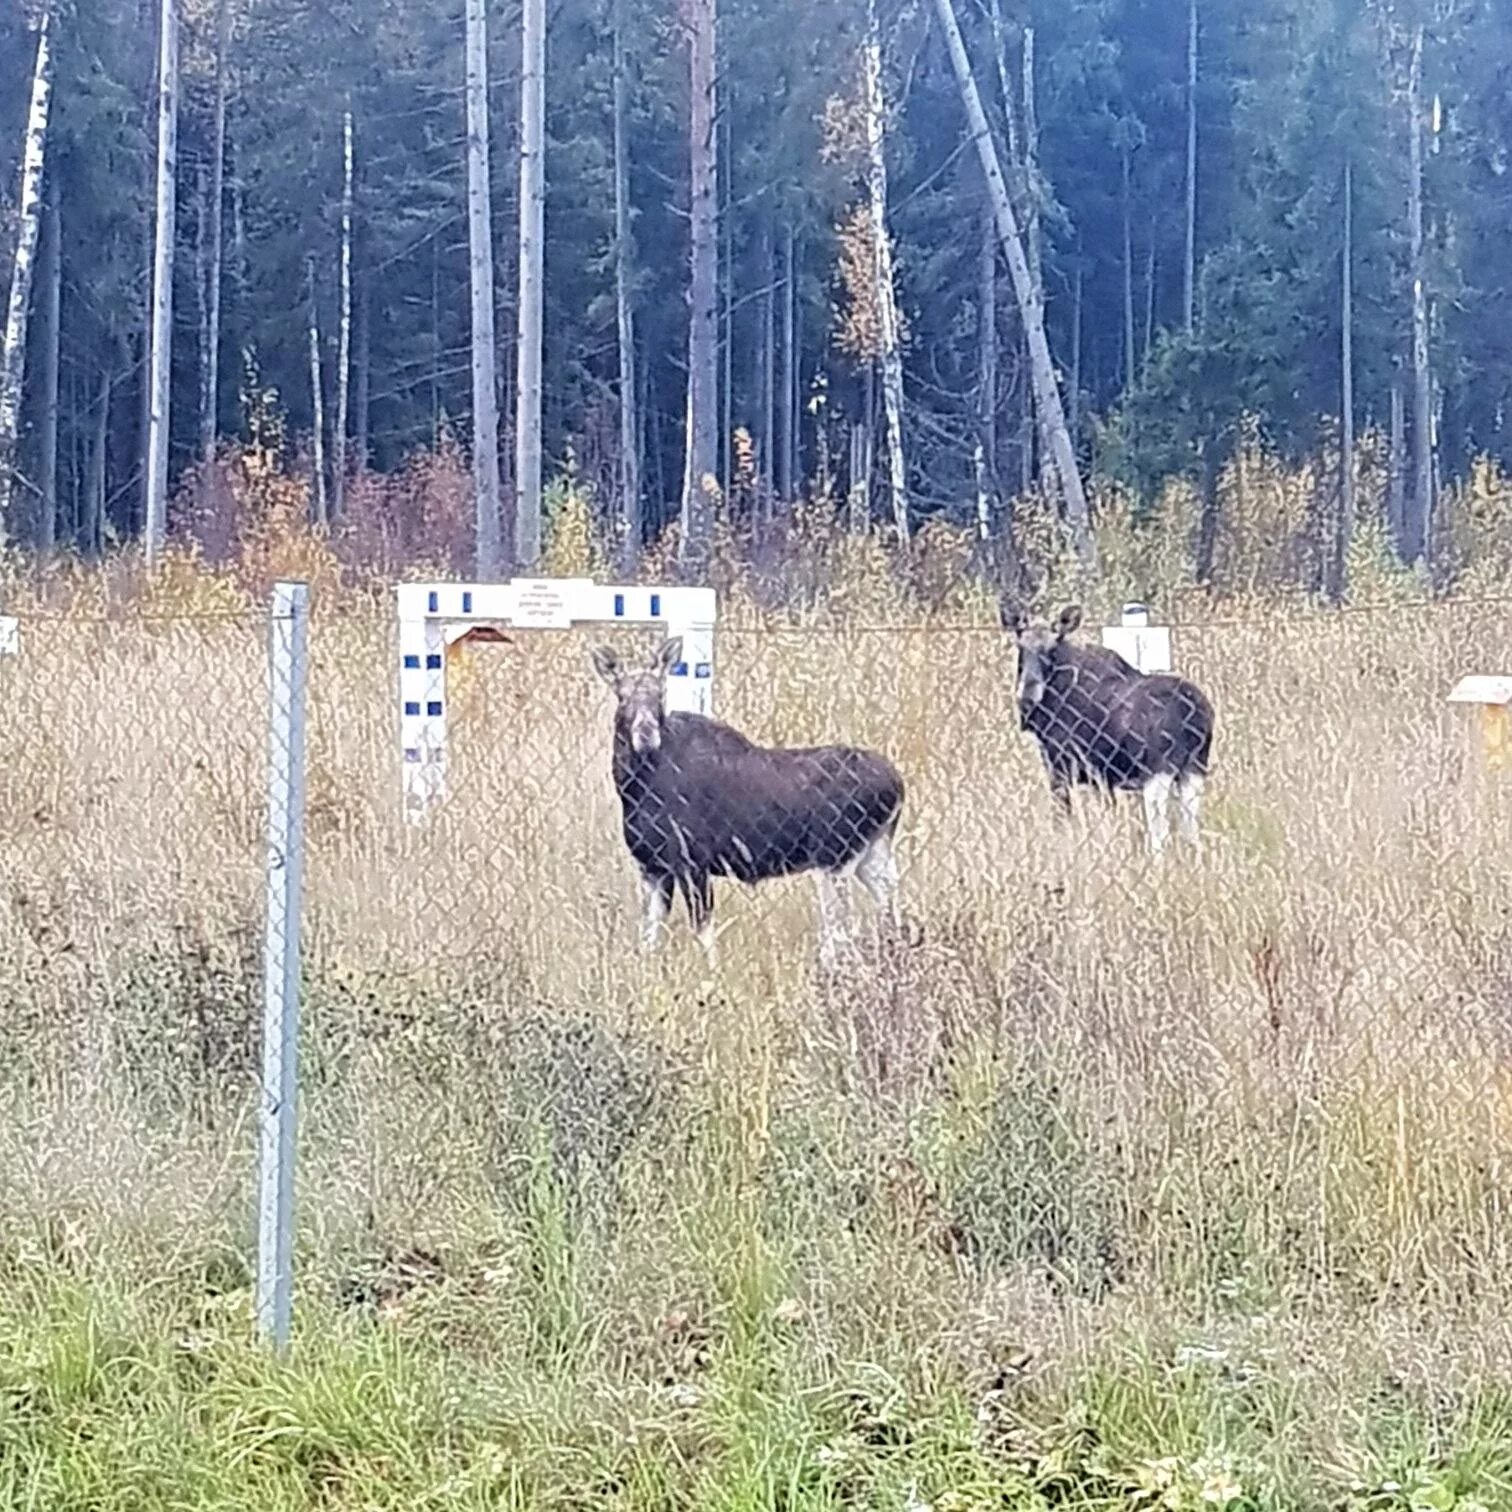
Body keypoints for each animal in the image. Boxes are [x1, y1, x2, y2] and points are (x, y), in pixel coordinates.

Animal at [586, 632, 895, 961]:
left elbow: (704, 934)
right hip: (872, 856)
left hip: (835, 859)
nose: (646, 732)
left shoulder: (691, 862)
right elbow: (649, 938)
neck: (634, 787)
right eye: (622, 696)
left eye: (660, 695)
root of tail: (897, 786)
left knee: (839, 937)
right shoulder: (652, 866)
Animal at [1003, 604, 1215, 864]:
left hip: (1158, 771)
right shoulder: (1103, 778)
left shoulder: (1060, 766)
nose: (1028, 694)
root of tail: (1194, 712)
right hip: (1194, 768)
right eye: (1020, 646)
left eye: (1051, 650)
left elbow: (1062, 819)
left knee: (1160, 828)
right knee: (1191, 827)